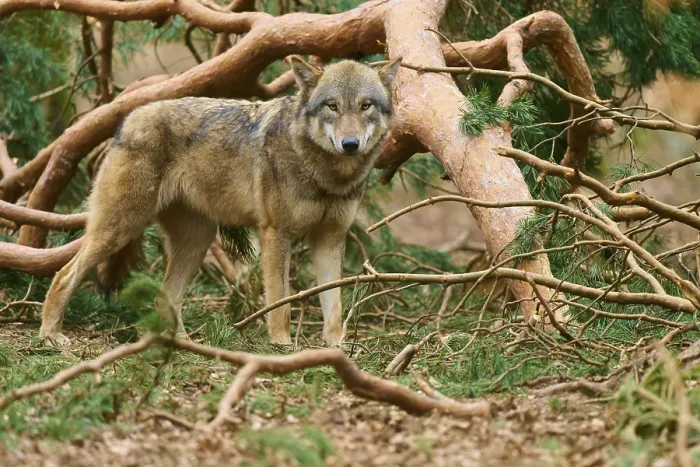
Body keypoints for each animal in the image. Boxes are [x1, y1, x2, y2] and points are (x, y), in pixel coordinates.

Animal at [38, 55, 402, 347]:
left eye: (365, 106)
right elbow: (280, 302)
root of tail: (128, 118)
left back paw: (183, 344)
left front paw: (337, 348)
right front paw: (282, 346)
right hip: (120, 229)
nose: (350, 144)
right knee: (63, 276)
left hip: (195, 242)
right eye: (332, 106)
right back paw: (51, 335)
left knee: (164, 298)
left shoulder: (330, 238)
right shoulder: (276, 235)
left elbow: (334, 305)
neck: (327, 176)